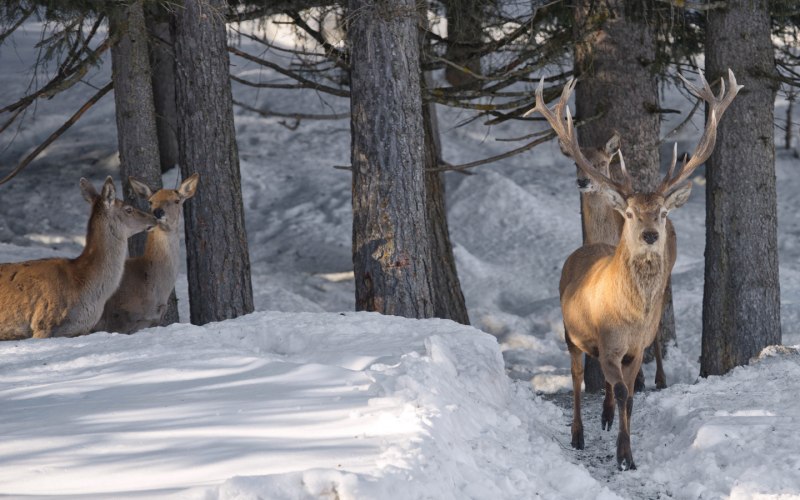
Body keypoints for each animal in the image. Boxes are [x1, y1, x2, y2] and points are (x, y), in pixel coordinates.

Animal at [529, 69, 741, 470]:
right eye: (629, 213)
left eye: (662, 211)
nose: (650, 234)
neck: (630, 316)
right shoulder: (608, 343)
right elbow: (620, 387)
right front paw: (621, 451)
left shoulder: (634, 349)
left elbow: (629, 394)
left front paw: (626, 452)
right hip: (569, 333)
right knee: (577, 377)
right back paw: (578, 433)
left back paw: (609, 414)